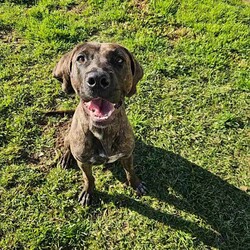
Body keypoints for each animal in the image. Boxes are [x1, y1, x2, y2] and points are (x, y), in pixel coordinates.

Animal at [53, 42, 146, 205]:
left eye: (119, 59)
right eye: (81, 58)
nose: (97, 79)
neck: (104, 132)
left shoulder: (127, 154)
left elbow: (130, 171)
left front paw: (136, 184)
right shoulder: (83, 162)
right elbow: (88, 178)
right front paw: (88, 192)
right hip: (68, 136)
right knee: (67, 147)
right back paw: (66, 158)